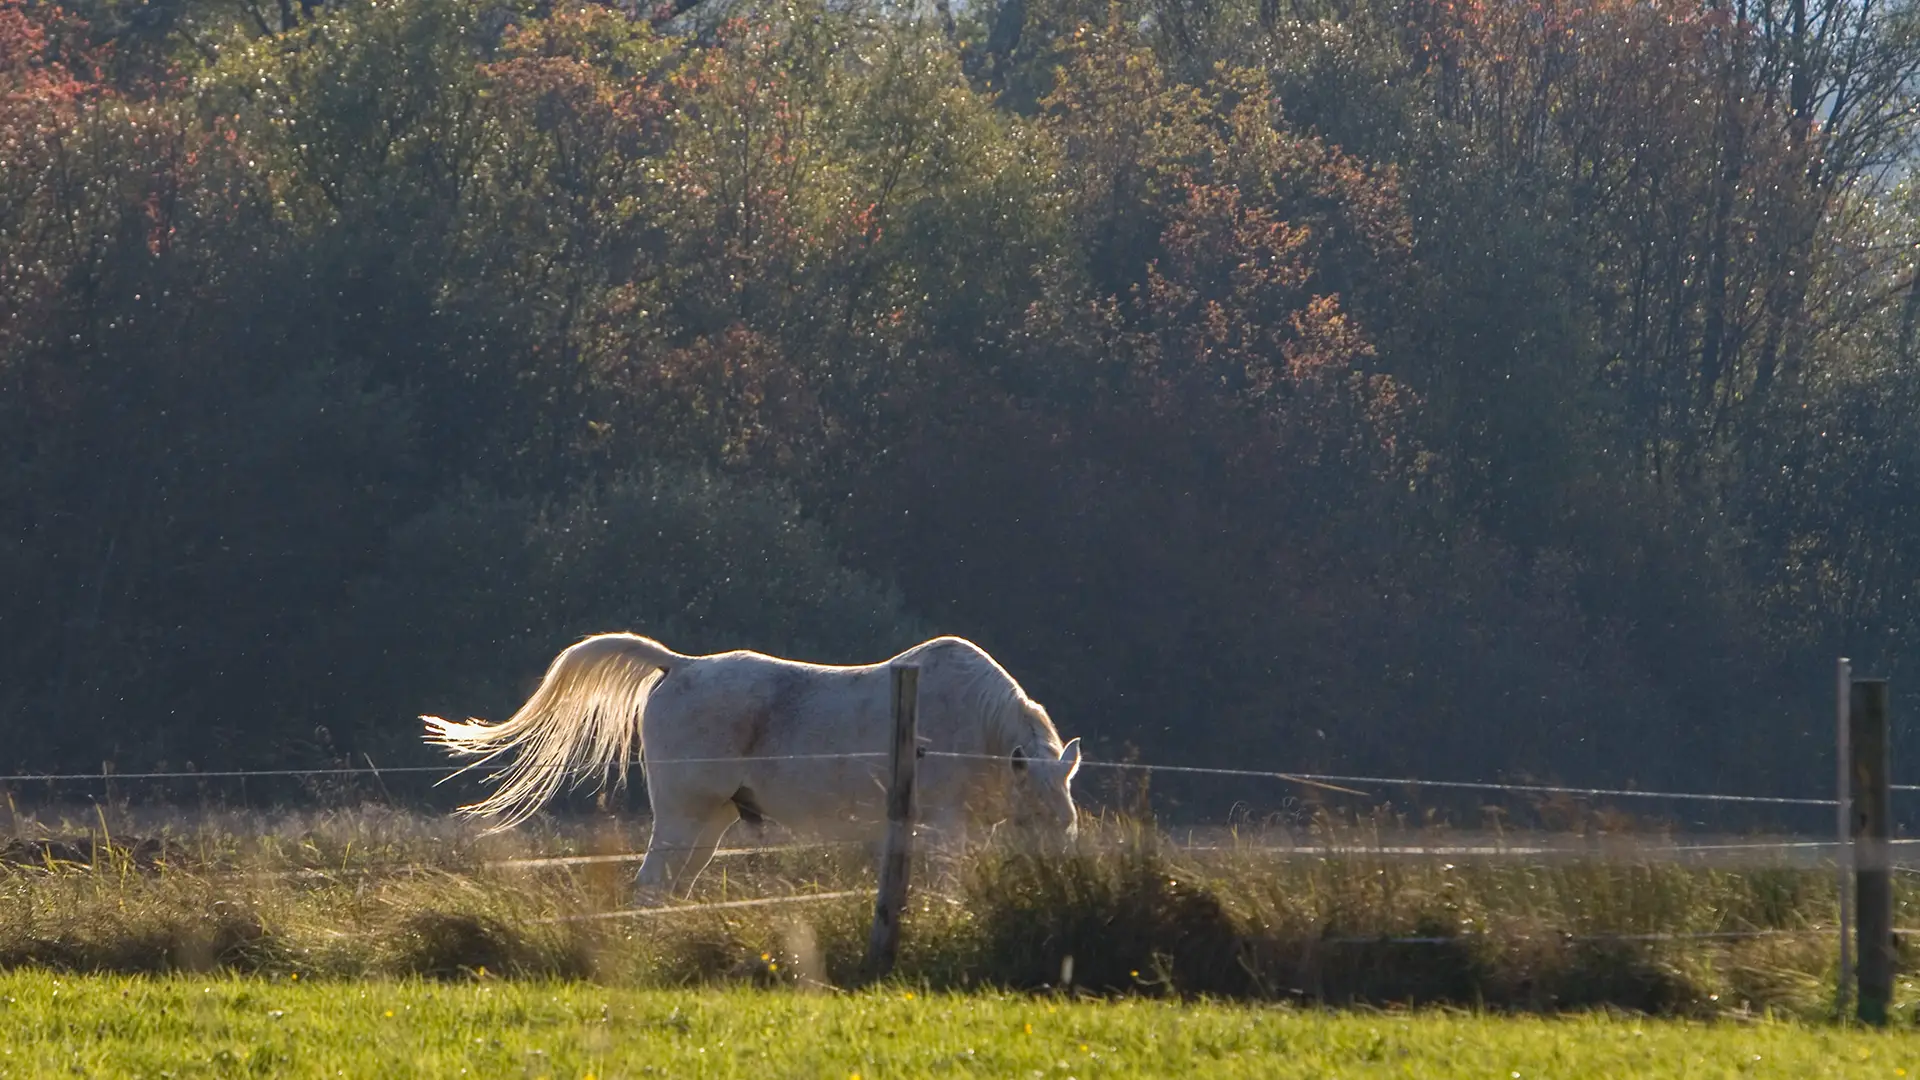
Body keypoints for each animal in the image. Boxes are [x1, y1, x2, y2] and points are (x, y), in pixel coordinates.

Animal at [422, 633, 1082, 898]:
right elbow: (947, 882)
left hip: (711, 822)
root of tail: (680, 665)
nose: (1057, 880)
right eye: (1037, 819)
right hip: (683, 818)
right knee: (653, 886)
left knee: (675, 887)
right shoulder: (945, 822)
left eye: (1067, 827)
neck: (979, 727)